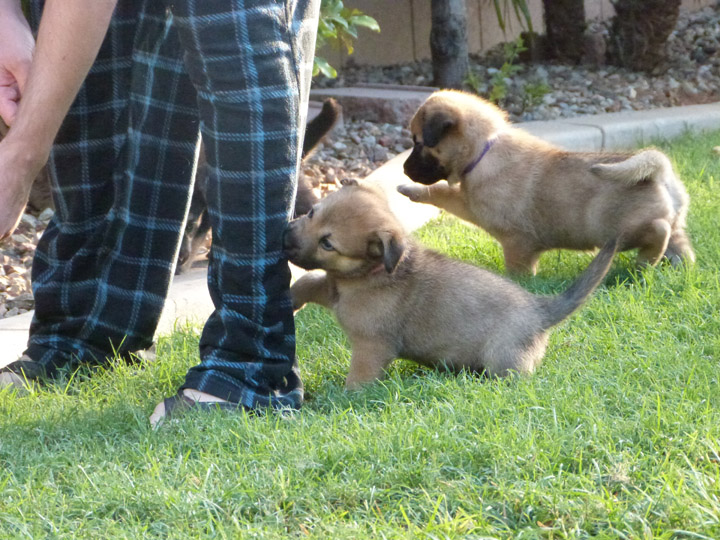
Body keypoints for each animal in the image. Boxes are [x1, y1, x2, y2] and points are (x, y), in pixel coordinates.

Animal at [284, 180, 616, 388]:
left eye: (328, 243)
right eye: (312, 213)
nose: (285, 236)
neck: (371, 272)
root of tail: (541, 311)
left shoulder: (372, 346)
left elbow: (358, 379)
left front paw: (342, 399)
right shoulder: (334, 289)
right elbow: (312, 280)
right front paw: (292, 298)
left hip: (503, 361)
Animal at [396, 90, 696, 274]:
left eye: (418, 143)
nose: (404, 169)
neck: (484, 149)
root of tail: (659, 172)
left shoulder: (510, 236)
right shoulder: (470, 203)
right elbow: (442, 191)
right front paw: (410, 190)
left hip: (613, 229)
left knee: (658, 231)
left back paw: (644, 263)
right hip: (675, 225)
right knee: (681, 246)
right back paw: (676, 268)